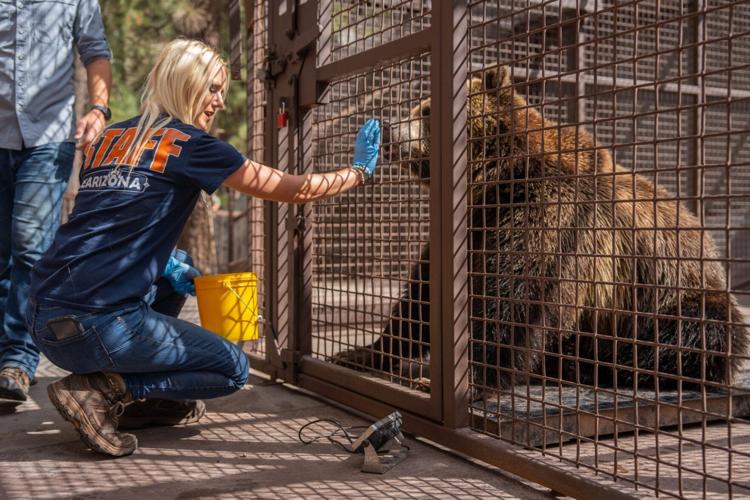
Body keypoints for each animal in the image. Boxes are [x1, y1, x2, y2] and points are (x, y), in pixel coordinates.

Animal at [333, 65, 748, 395]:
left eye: (427, 110)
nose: (388, 129)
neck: (497, 181)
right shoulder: (475, 227)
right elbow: (425, 294)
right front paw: (365, 351)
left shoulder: (550, 219)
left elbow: (514, 301)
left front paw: (463, 379)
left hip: (675, 294)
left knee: (692, 335)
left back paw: (591, 364)